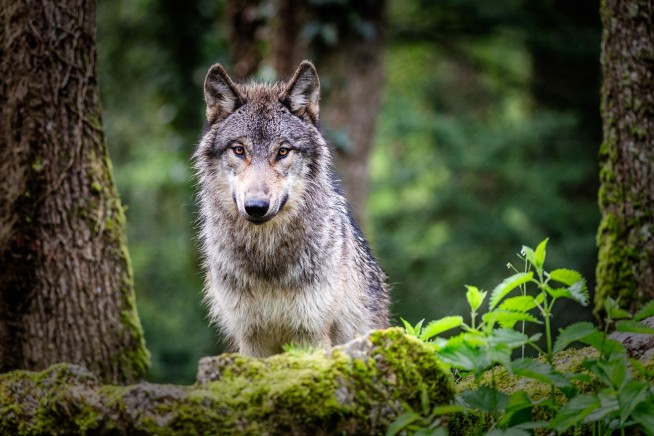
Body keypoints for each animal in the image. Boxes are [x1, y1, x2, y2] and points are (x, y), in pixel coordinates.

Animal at [194, 60, 390, 357]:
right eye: (239, 150)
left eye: (283, 151)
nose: (256, 207)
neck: (267, 259)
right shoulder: (251, 339)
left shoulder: (310, 334)